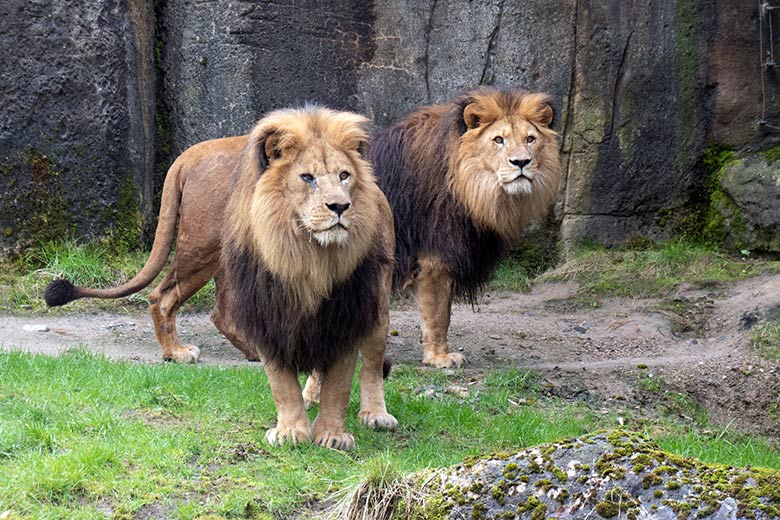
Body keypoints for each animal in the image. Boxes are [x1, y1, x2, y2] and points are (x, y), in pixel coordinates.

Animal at [44, 105, 396, 446]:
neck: (307, 256)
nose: (340, 206)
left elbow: (340, 379)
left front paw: (331, 433)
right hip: (205, 249)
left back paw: (373, 413)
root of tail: (188, 155)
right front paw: (291, 429)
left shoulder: (348, 308)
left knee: (371, 361)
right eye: (307, 177)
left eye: (344, 176)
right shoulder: (268, 308)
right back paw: (178, 353)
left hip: (372, 303)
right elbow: (284, 383)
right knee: (165, 297)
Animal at [372, 86, 560, 370]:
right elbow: (438, 314)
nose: (521, 163)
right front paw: (440, 358)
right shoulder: (436, 257)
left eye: (530, 139)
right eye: (498, 140)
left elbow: (444, 313)